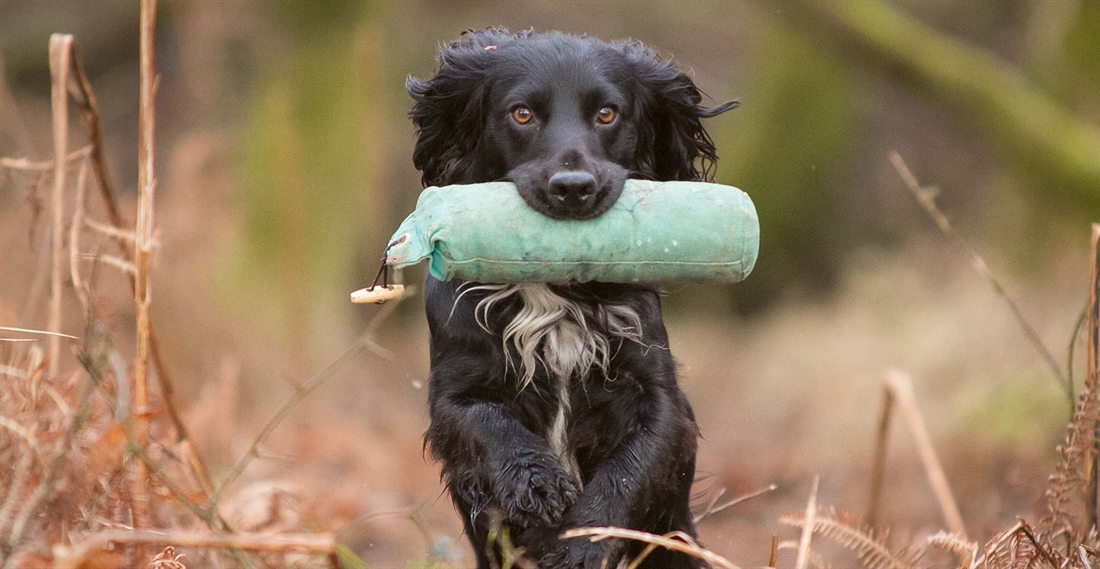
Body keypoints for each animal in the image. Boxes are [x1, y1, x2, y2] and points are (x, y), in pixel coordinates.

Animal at [407, 28, 739, 563]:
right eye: (522, 113)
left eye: (607, 113)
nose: (572, 187)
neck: (557, 291)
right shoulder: (455, 388)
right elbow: (485, 422)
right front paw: (537, 481)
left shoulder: (656, 393)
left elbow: (630, 467)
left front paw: (583, 542)